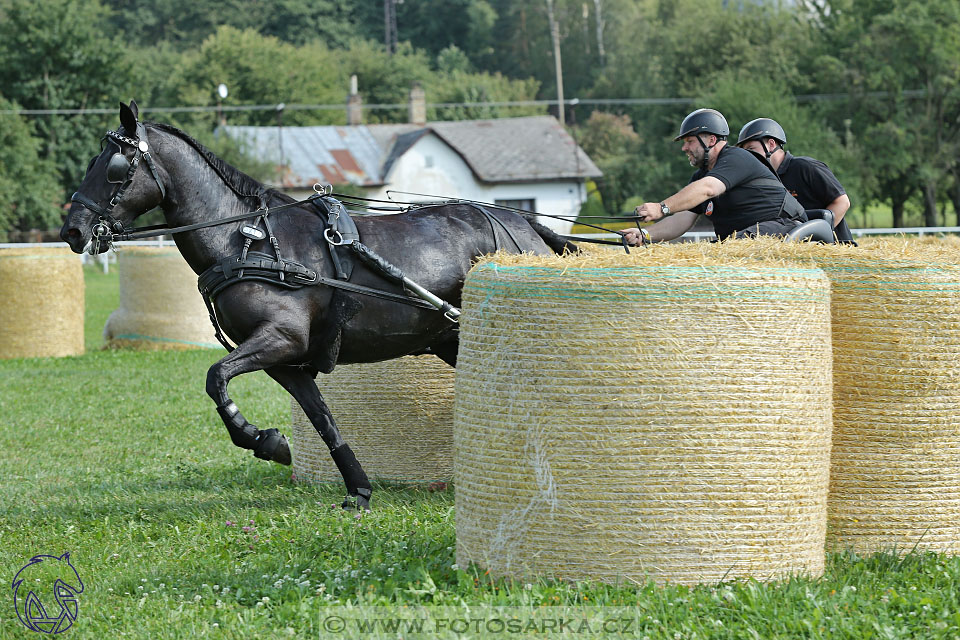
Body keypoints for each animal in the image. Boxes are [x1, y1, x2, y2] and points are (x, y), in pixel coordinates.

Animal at [63, 101, 572, 510]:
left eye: (113, 166)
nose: (73, 230)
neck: (247, 241)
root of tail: (523, 224)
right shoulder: (285, 361)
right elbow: (323, 420)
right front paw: (354, 487)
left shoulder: (280, 338)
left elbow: (215, 377)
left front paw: (262, 439)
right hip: (450, 339)